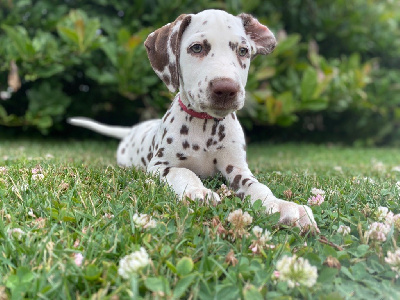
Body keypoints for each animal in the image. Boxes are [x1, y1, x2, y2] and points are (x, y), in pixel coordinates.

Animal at [69, 8, 318, 230]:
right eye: (197, 48)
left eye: (243, 50)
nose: (226, 89)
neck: (205, 126)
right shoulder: (160, 166)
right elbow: (183, 172)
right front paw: (198, 191)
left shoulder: (237, 168)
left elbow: (258, 187)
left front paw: (284, 206)